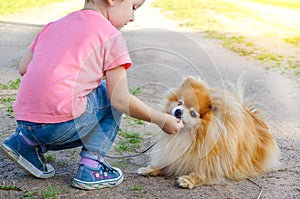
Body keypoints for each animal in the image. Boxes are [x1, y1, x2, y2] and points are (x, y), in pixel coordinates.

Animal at [138, 76, 282, 188]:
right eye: (179, 103)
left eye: (193, 113)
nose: (178, 111)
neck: (190, 135)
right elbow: (166, 162)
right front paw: (151, 168)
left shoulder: (215, 160)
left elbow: (204, 172)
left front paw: (189, 180)